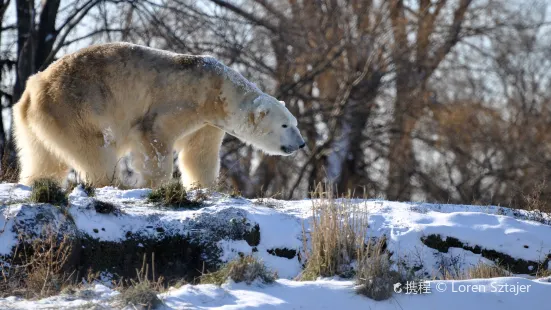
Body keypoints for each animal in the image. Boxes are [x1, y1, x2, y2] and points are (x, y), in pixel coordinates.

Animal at [11, 42, 306, 188]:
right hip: (75, 108)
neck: (219, 90)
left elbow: (200, 154)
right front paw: (155, 183)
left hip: (40, 122)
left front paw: (204, 186)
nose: (301, 143)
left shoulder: (207, 121)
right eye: (284, 125)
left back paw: (36, 181)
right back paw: (116, 183)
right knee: (95, 150)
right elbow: (155, 138)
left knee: (44, 157)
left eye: (294, 122)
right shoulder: (182, 101)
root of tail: (32, 90)